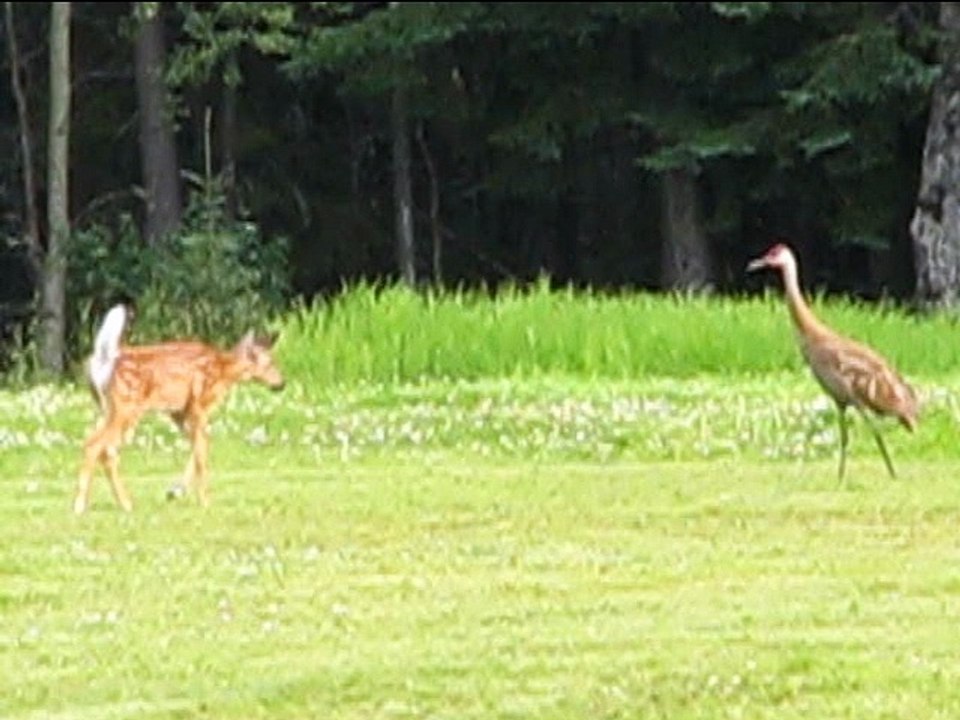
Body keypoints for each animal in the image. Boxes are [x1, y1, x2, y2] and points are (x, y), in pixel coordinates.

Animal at [74, 305, 285, 514]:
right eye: (270, 363)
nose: (281, 384)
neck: (223, 371)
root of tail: (102, 360)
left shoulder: (179, 411)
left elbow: (198, 446)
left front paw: (175, 491)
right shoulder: (199, 405)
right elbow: (202, 450)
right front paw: (204, 500)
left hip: (107, 408)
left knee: (107, 449)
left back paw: (125, 504)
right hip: (126, 406)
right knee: (95, 445)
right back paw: (81, 505)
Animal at [747, 242, 918, 481]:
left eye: (773, 253)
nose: (755, 263)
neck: (816, 337)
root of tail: (909, 405)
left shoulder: (851, 394)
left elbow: (866, 433)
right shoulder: (839, 399)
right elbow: (844, 438)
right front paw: (840, 477)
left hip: (873, 401)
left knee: (877, 431)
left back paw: (893, 473)